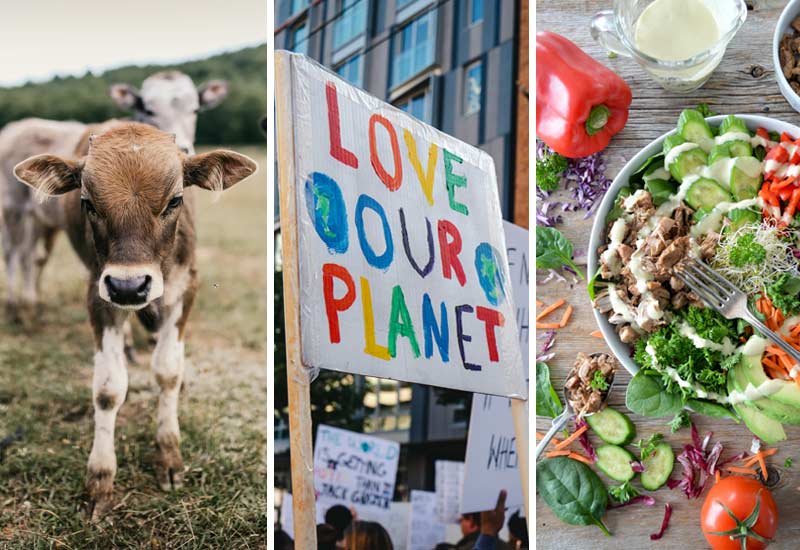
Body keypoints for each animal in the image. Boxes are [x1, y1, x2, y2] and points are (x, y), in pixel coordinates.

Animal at [13, 122, 256, 520]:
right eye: (88, 202)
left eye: (174, 200)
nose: (129, 286)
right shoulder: (99, 295)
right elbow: (108, 389)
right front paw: (100, 480)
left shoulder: (187, 288)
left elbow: (168, 371)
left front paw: (170, 456)